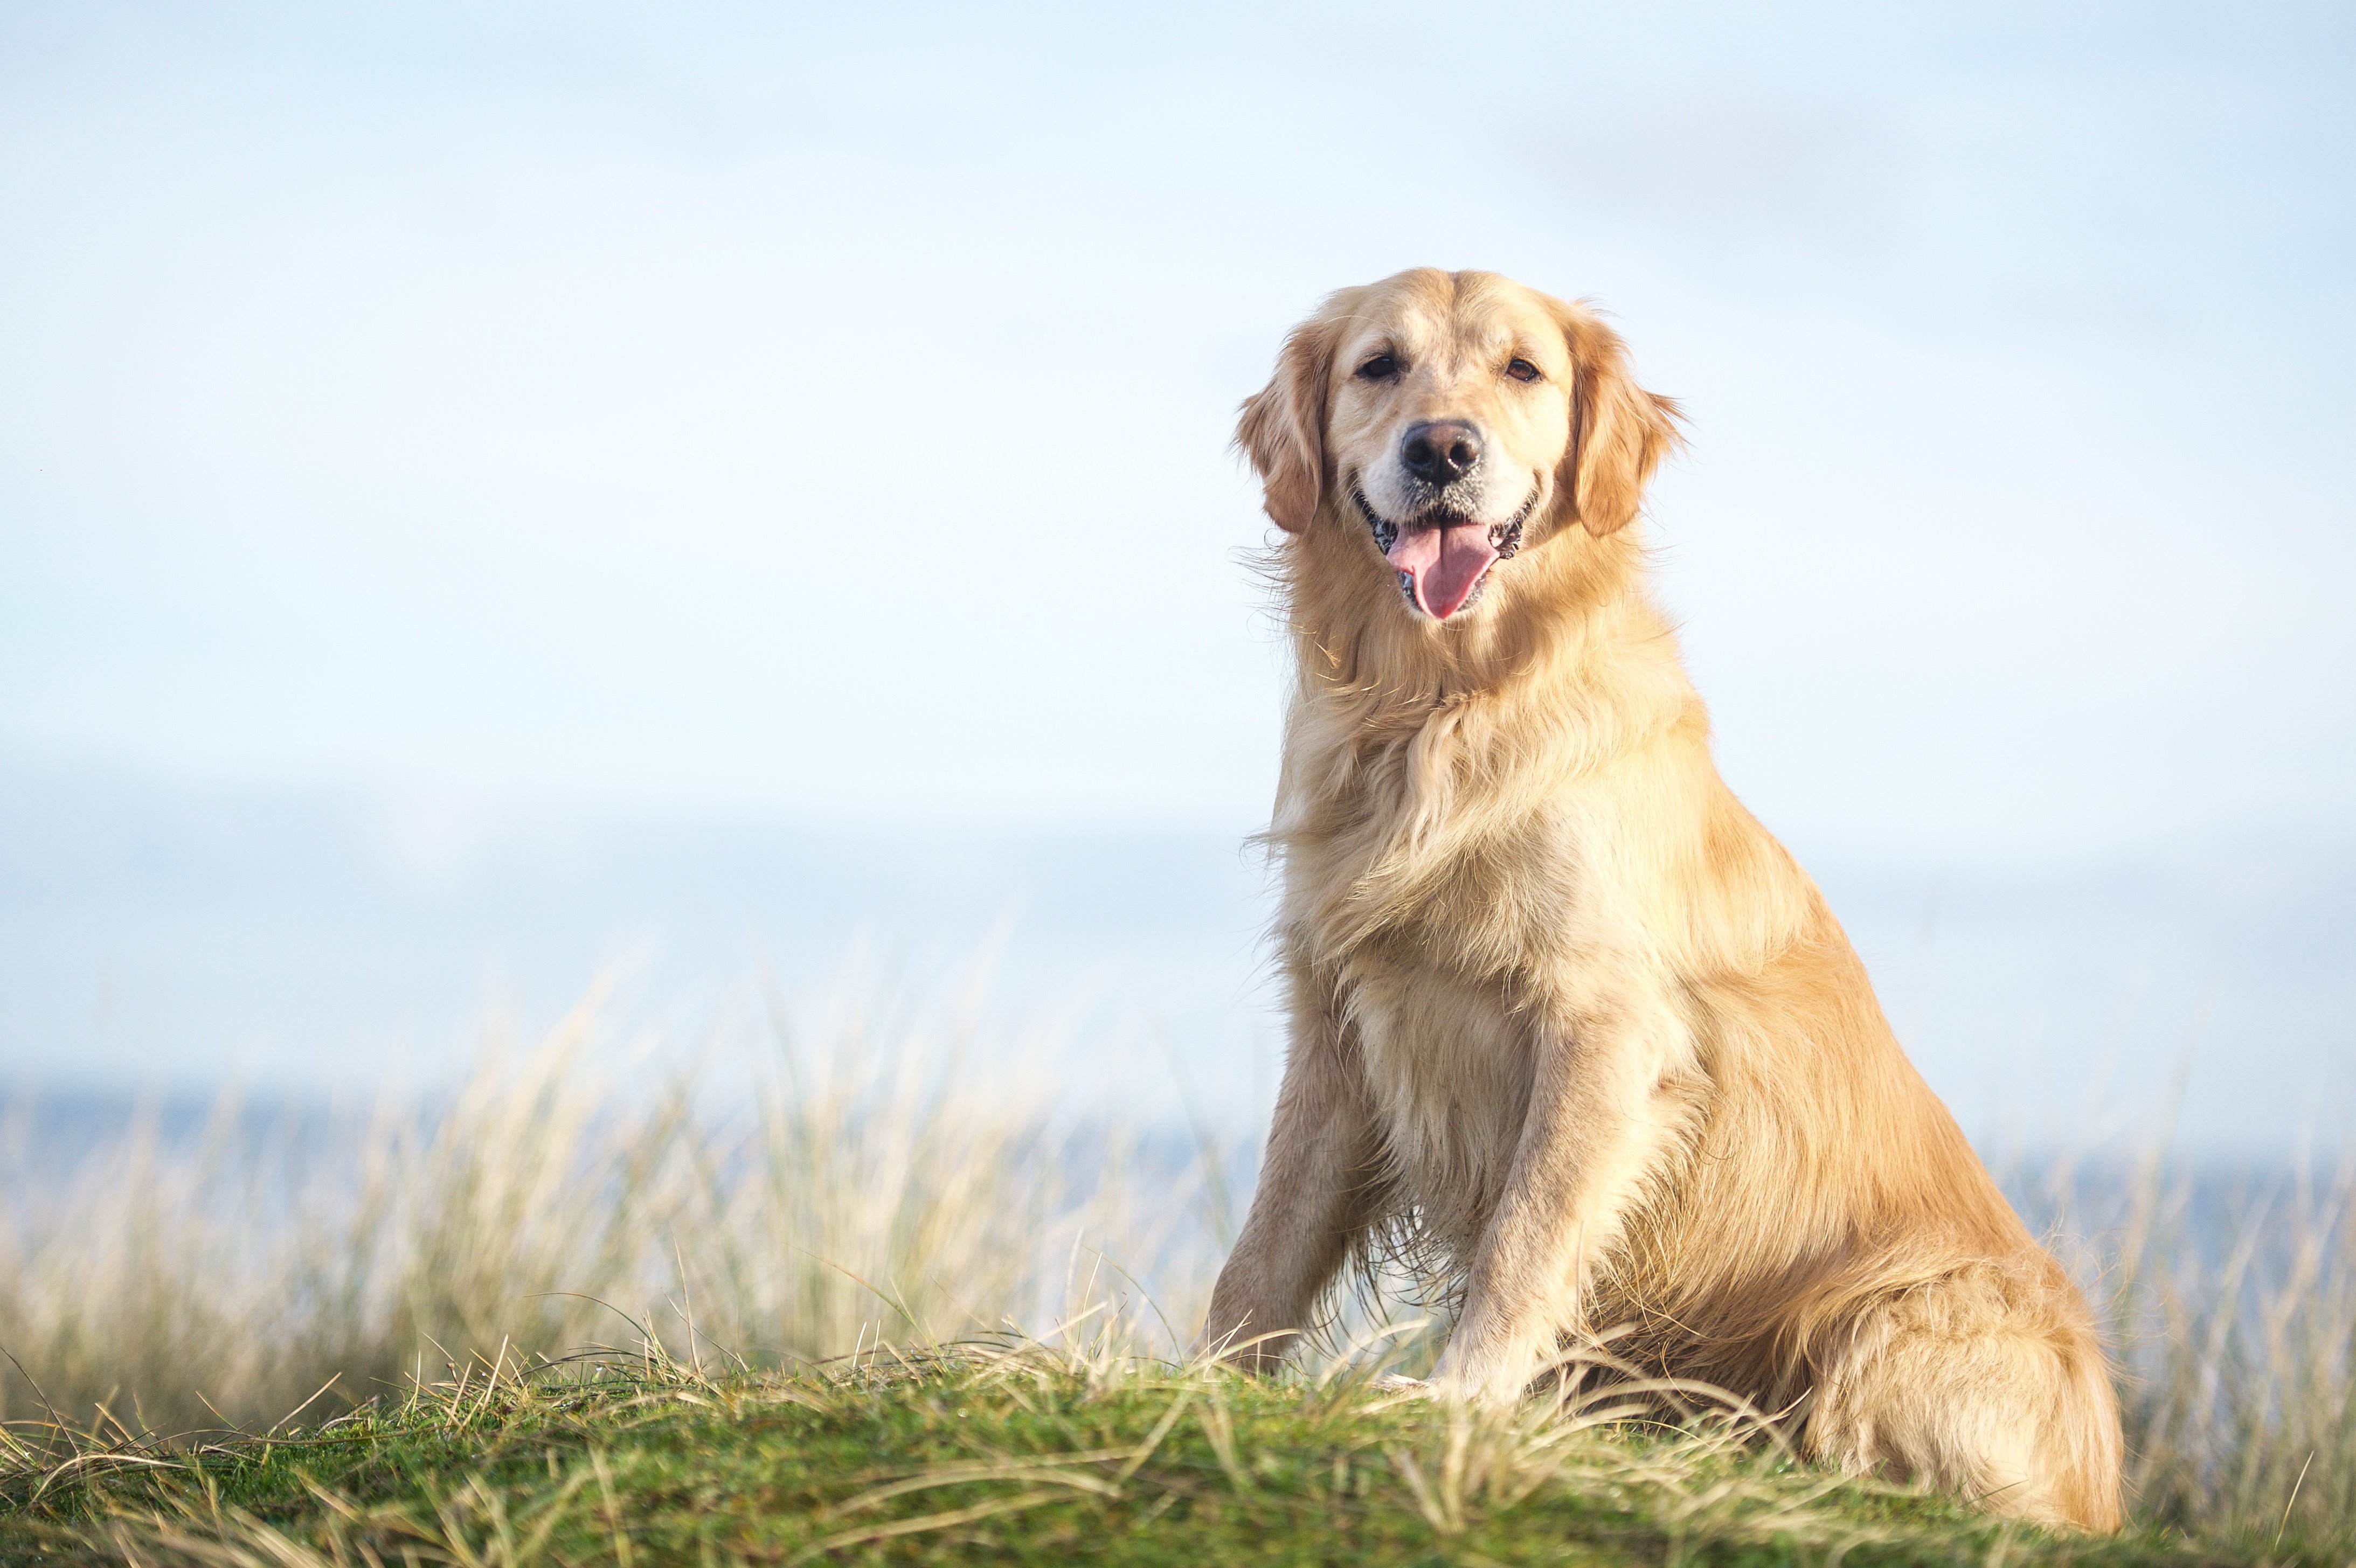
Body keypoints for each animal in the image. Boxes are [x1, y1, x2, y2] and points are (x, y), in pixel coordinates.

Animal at [1187, 266, 2130, 1525]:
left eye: (1522, 370)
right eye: (1377, 367)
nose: (1442, 450)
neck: (1442, 703)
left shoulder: (1604, 1030)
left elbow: (1524, 1241)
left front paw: (1453, 1401)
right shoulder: (1340, 1026)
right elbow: (1265, 1248)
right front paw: (1195, 1382)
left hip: (1890, 1315)